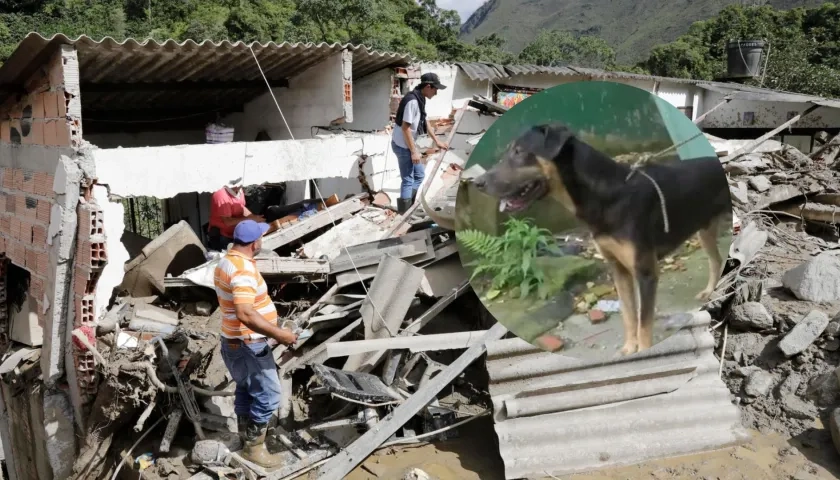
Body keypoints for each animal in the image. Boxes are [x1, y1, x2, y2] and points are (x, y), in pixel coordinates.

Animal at [470, 124, 732, 356]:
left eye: (519, 151)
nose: (476, 183)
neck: (607, 194)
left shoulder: (646, 272)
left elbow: (644, 322)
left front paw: (644, 351)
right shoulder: (619, 269)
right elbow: (629, 315)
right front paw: (629, 349)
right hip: (705, 229)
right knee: (716, 260)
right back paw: (709, 291)